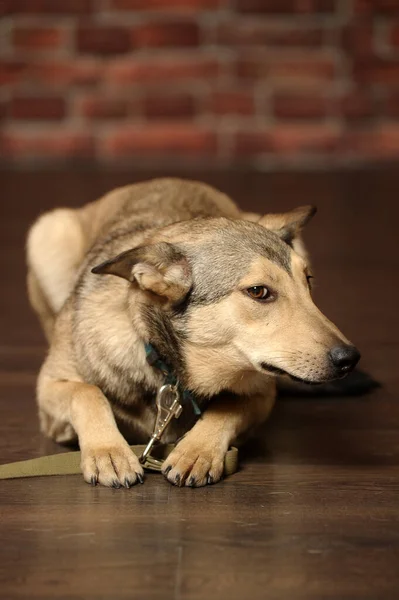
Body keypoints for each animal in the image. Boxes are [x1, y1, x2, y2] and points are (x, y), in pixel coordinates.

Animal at [26, 177, 360, 488]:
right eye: (258, 292)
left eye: (308, 281)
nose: (350, 358)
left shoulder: (262, 392)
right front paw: (108, 452)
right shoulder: (48, 387)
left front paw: (196, 452)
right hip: (48, 232)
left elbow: (229, 405)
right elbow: (87, 393)